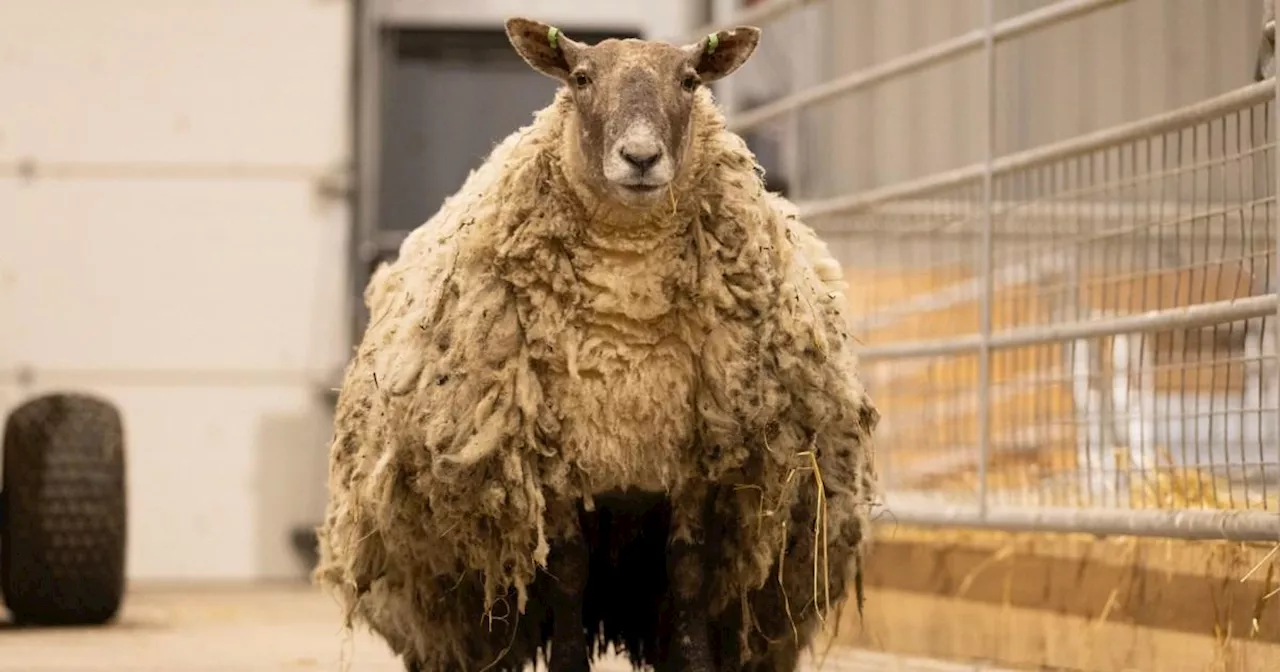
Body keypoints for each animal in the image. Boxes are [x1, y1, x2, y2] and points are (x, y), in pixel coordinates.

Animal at [314, 17, 880, 670]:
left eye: (689, 81)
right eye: (581, 79)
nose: (640, 157)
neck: (626, 323)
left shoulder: (694, 464)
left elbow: (687, 573)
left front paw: (694, 661)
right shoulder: (556, 463)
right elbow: (567, 572)